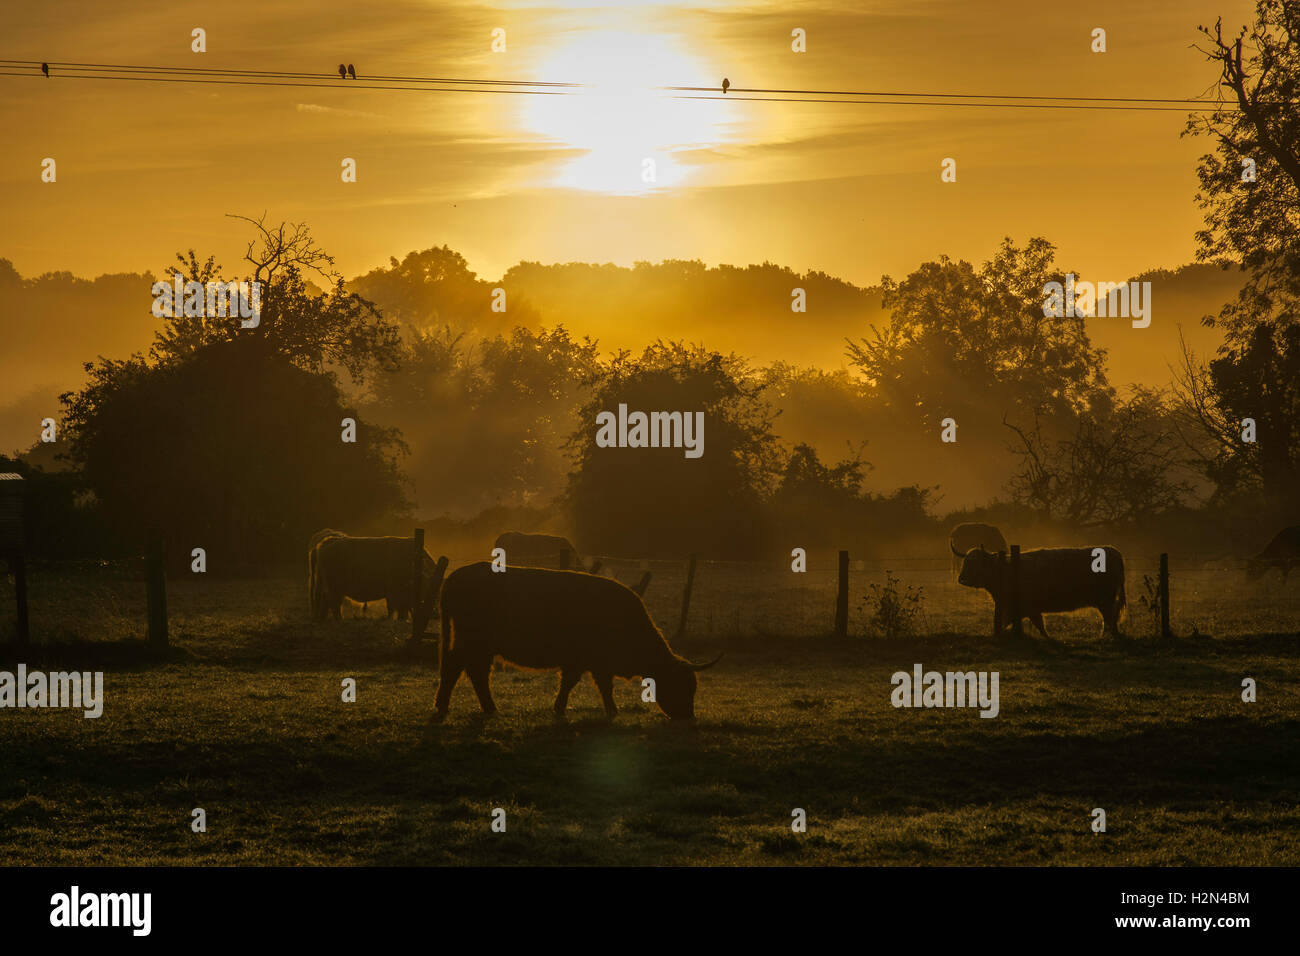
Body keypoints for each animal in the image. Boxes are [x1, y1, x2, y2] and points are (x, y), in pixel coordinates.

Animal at [313, 535, 441, 624]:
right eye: (430, 589)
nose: (436, 615)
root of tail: (329, 541)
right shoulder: (394, 590)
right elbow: (393, 607)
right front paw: (393, 620)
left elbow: (401, 609)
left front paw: (402, 620)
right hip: (335, 588)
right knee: (333, 604)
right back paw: (340, 620)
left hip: (332, 588)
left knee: (326, 602)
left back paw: (323, 619)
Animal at [956, 546, 1128, 634]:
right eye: (965, 562)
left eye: (975, 564)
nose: (961, 579)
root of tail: (1112, 551)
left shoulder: (1022, 607)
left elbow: (1036, 624)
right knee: (1109, 619)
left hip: (1105, 599)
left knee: (1110, 619)